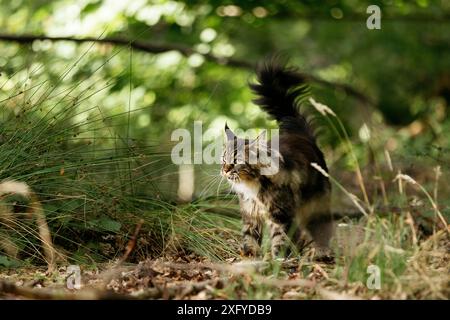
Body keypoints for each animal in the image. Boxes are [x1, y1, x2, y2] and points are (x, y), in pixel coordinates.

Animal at [222, 59, 334, 260]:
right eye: (224, 158)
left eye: (236, 161)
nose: (225, 170)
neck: (251, 187)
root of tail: (299, 132)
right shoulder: (250, 214)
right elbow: (250, 236)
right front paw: (250, 256)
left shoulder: (280, 215)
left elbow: (279, 239)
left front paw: (277, 260)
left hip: (315, 203)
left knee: (321, 229)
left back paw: (321, 253)